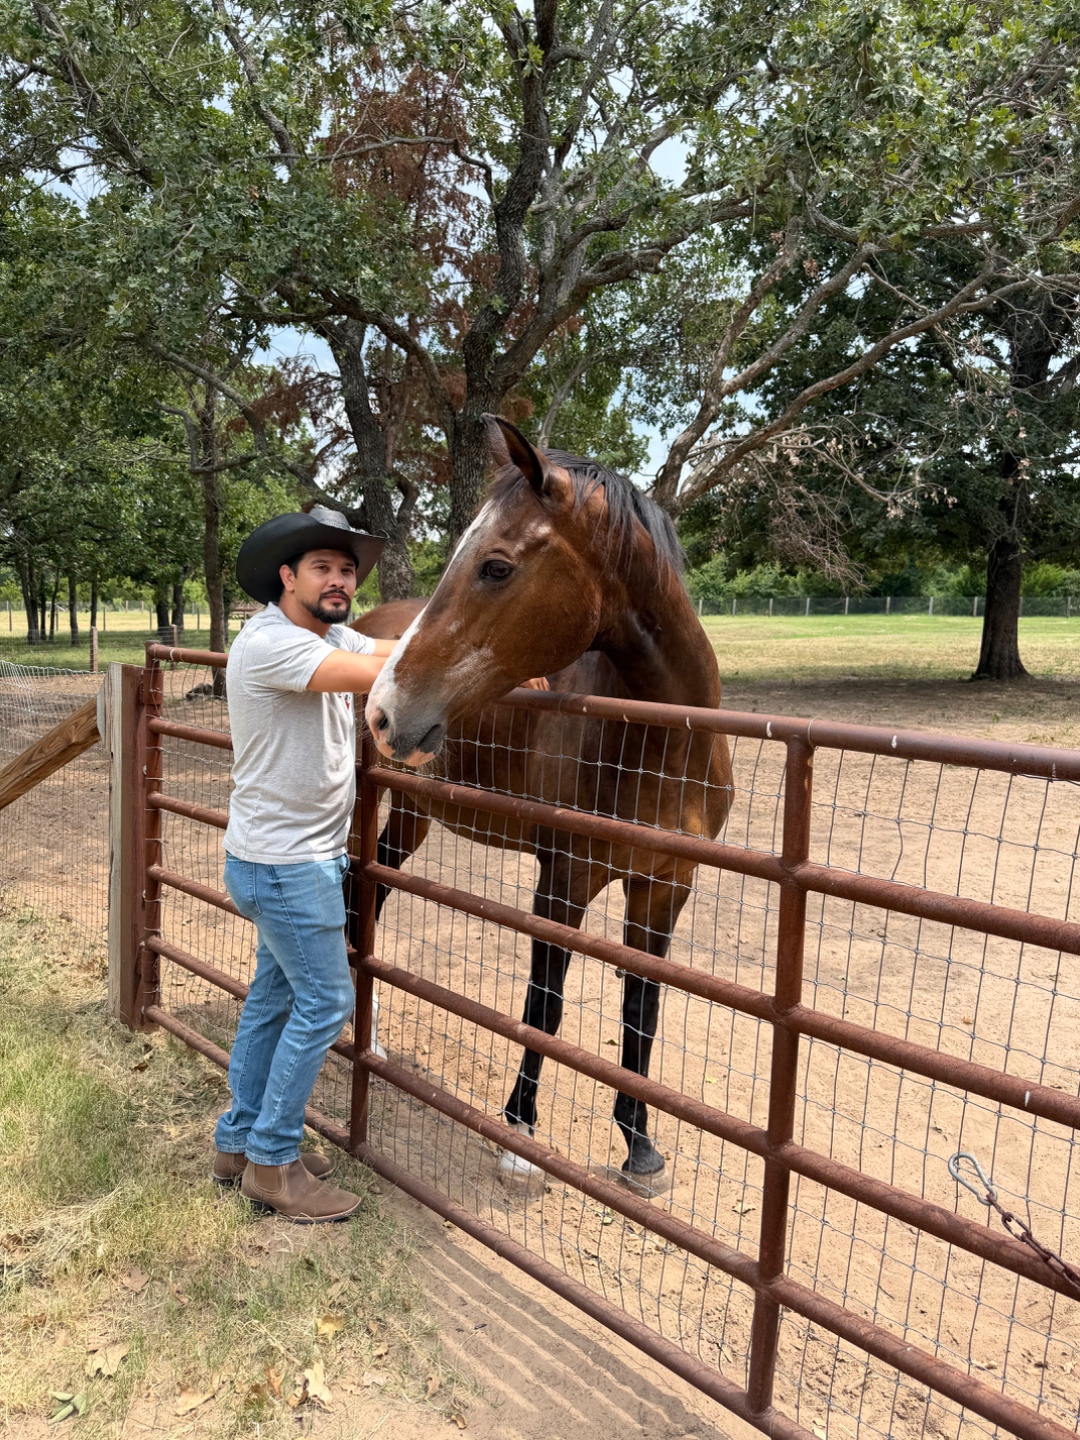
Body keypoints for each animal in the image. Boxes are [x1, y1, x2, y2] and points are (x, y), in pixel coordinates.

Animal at [356, 415, 732, 1186]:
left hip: (412, 816)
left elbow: (642, 1008)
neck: (665, 749)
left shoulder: (665, 887)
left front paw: (640, 1146)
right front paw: (519, 1132)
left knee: (376, 891)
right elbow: (545, 1005)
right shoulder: (563, 883)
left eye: (496, 567)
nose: (385, 710)